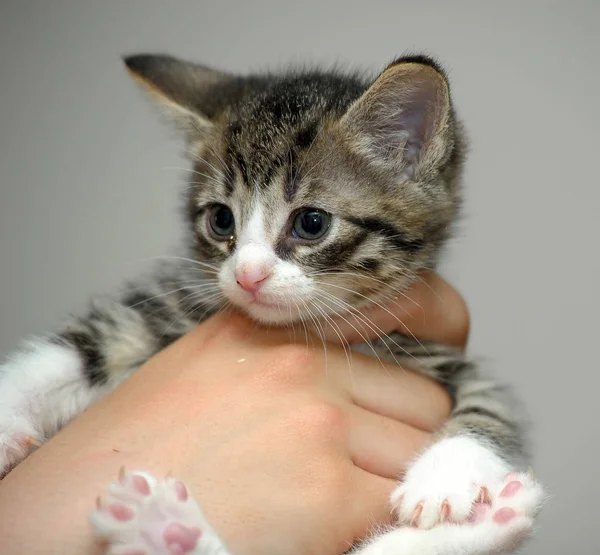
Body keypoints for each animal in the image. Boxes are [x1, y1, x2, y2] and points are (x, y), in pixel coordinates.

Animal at [0, 53, 544, 555]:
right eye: (221, 219)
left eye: (311, 223)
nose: (247, 275)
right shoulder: (171, 308)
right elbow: (78, 348)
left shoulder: (428, 347)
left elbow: (489, 404)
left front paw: (443, 480)